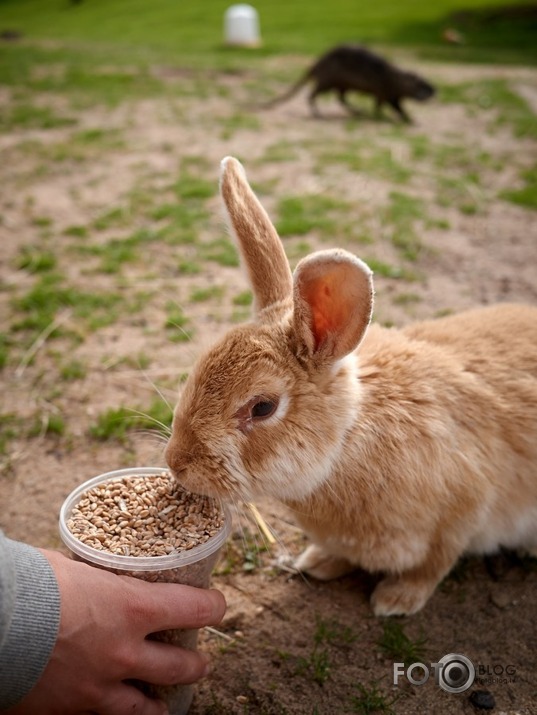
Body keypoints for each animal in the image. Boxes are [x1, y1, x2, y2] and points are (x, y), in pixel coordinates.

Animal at [165, 157, 536, 616]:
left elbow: (433, 565)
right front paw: (318, 563)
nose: (175, 462)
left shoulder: (464, 512)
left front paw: (394, 602)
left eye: (263, 407)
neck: (347, 441)